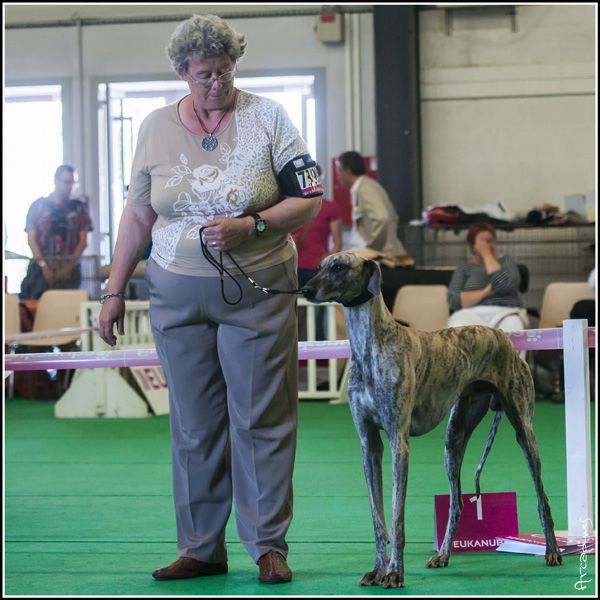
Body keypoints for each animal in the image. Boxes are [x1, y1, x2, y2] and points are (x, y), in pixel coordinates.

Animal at [304, 252, 564, 584]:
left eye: (339, 267)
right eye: (321, 265)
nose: (305, 289)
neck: (372, 348)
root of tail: (501, 334)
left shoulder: (398, 442)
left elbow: (396, 515)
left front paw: (394, 572)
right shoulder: (369, 445)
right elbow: (378, 518)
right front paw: (377, 569)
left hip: (524, 431)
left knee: (542, 497)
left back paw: (552, 552)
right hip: (454, 439)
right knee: (457, 503)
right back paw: (443, 555)